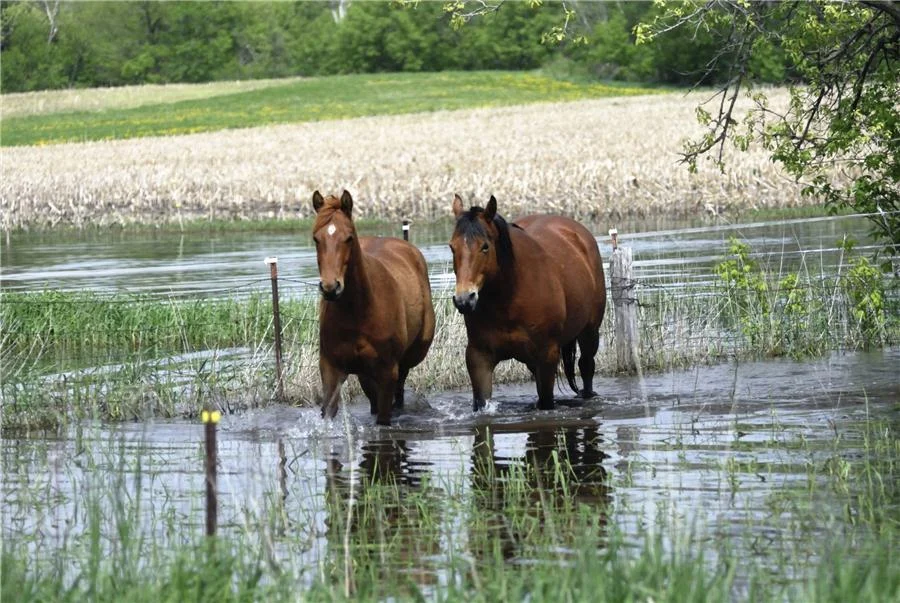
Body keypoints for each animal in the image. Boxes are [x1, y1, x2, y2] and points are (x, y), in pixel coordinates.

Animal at [312, 190, 435, 426]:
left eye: (348, 237)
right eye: (316, 238)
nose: (331, 287)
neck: (358, 312)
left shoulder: (387, 373)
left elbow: (384, 418)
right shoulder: (331, 369)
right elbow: (328, 411)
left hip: (409, 358)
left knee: (400, 387)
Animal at [449, 194, 606, 411]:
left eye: (485, 246)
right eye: (452, 247)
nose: (464, 300)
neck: (508, 300)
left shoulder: (547, 355)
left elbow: (547, 401)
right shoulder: (479, 357)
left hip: (589, 333)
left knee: (586, 366)